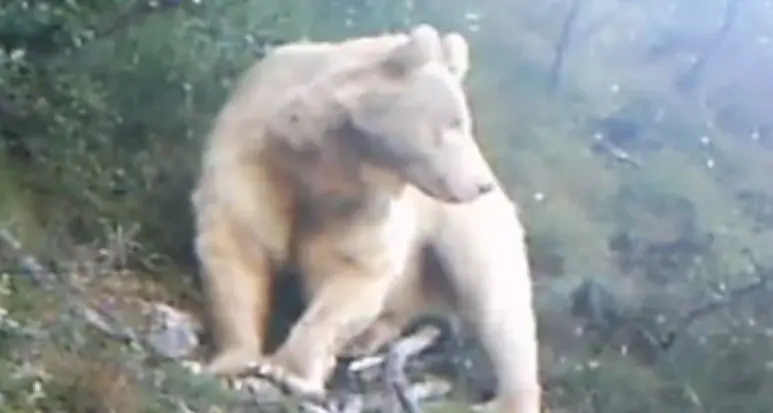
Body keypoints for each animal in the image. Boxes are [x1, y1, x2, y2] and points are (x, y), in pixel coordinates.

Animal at [191, 24, 541, 413]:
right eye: (454, 123)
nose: (481, 185)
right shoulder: (257, 159)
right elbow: (237, 246)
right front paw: (234, 358)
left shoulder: (364, 207)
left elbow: (353, 273)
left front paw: (288, 370)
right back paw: (367, 339)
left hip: (472, 233)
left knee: (499, 304)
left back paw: (509, 398)